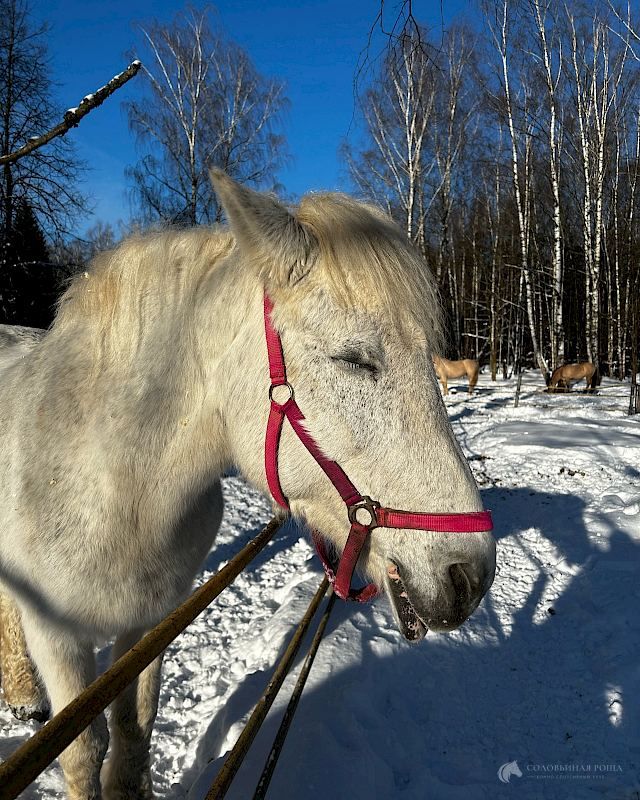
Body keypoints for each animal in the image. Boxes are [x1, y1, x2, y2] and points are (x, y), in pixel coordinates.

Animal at [0, 171, 496, 800]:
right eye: (355, 359)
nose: (470, 577)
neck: (106, 488)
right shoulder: (57, 638)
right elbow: (85, 753)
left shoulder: (147, 626)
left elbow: (133, 733)